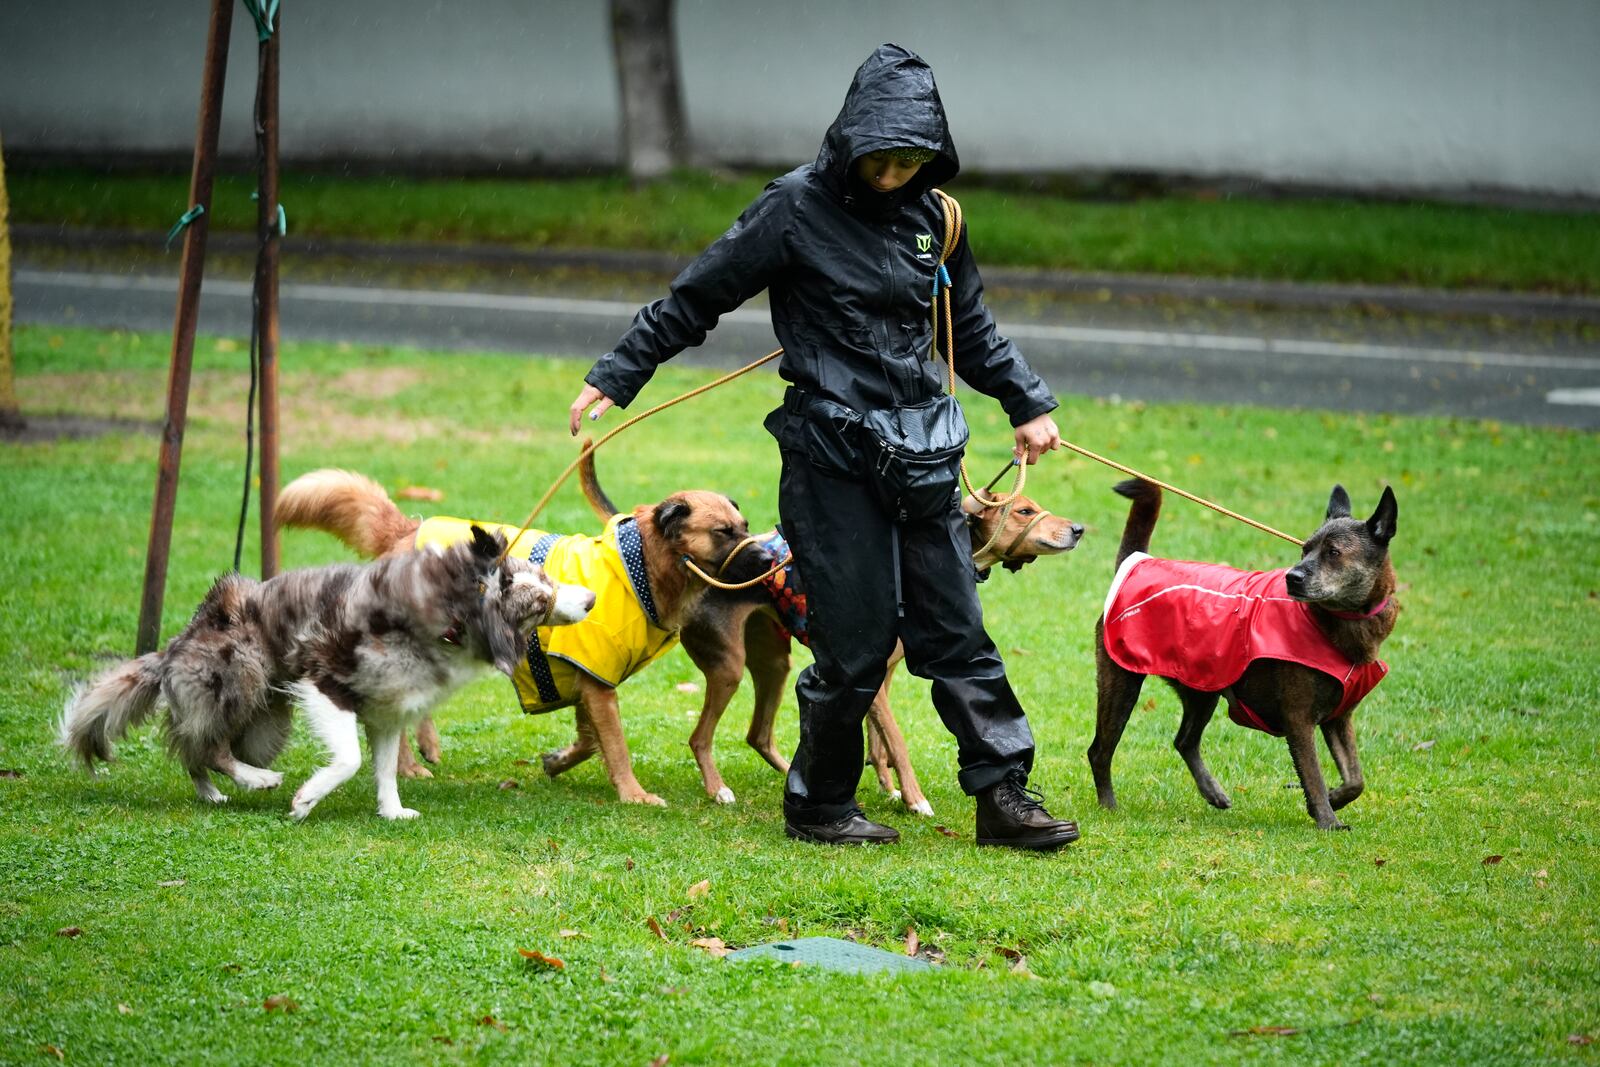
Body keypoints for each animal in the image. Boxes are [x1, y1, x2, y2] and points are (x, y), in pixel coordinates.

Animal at [60, 524, 595, 819]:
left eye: (546, 579)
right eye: (541, 600)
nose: (591, 600)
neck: (450, 615)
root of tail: (176, 643)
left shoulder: (388, 709)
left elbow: (385, 768)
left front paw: (392, 812)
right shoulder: (324, 682)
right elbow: (351, 760)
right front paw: (306, 801)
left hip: (266, 725)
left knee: (196, 749)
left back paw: (213, 795)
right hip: (243, 678)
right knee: (209, 745)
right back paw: (258, 781)